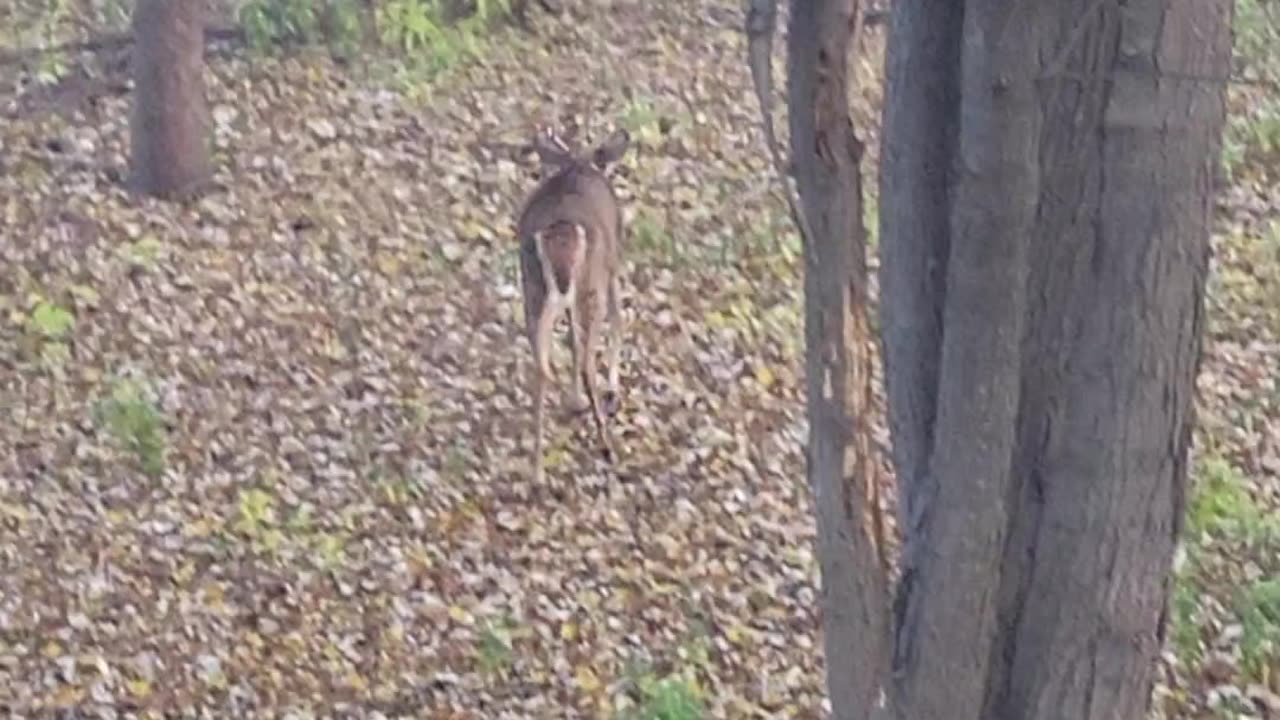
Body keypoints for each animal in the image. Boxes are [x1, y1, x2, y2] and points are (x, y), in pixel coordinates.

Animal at [512, 126, 627, 481]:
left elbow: (572, 340)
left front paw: (574, 400)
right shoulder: (613, 268)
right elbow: (618, 321)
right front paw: (613, 389)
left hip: (533, 291)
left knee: (540, 368)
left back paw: (537, 473)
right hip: (592, 287)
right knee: (589, 359)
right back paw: (606, 445)